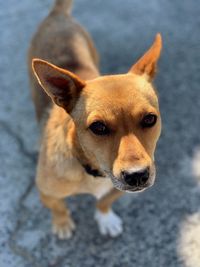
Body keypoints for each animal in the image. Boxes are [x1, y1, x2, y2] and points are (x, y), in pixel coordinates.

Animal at [27, 0, 162, 239]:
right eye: (98, 127)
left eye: (149, 119)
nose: (137, 176)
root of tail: (58, 14)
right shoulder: (46, 192)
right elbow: (58, 208)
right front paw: (62, 223)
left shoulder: (116, 190)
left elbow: (104, 201)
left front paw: (105, 218)